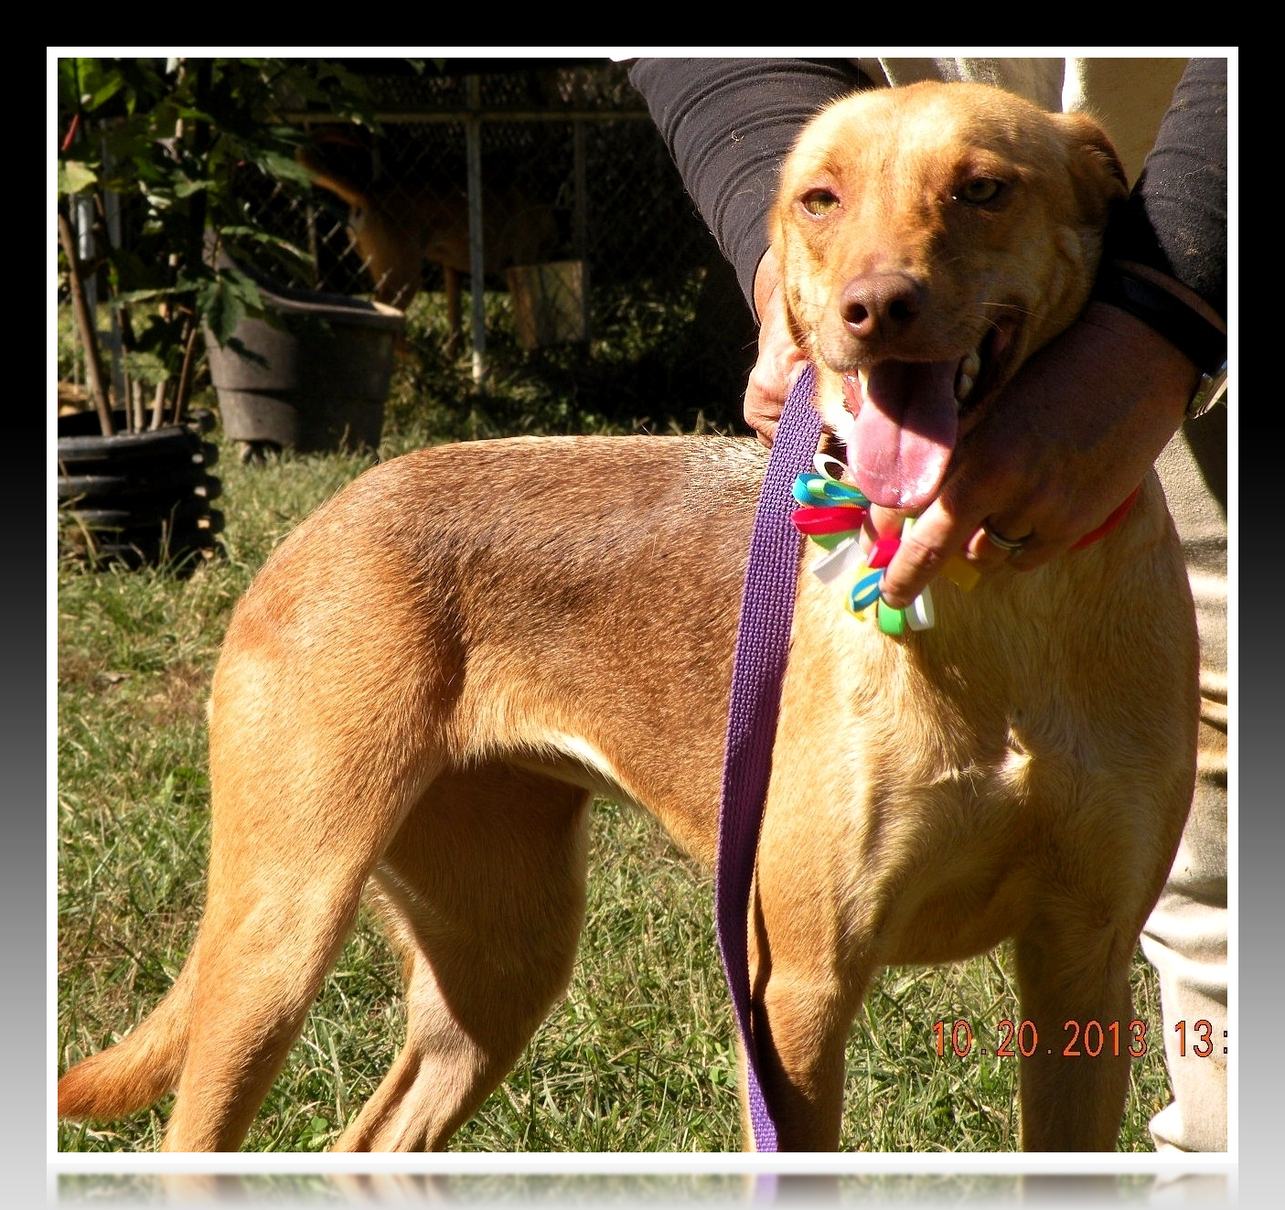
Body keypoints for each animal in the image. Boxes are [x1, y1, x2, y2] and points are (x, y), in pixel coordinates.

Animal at [55, 82, 1197, 1156]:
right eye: (818, 200)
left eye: (983, 189)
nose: (872, 307)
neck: (991, 600)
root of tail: (321, 519)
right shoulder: (798, 987)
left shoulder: (1082, 972)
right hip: (280, 933)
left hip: (498, 957)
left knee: (365, 1144)